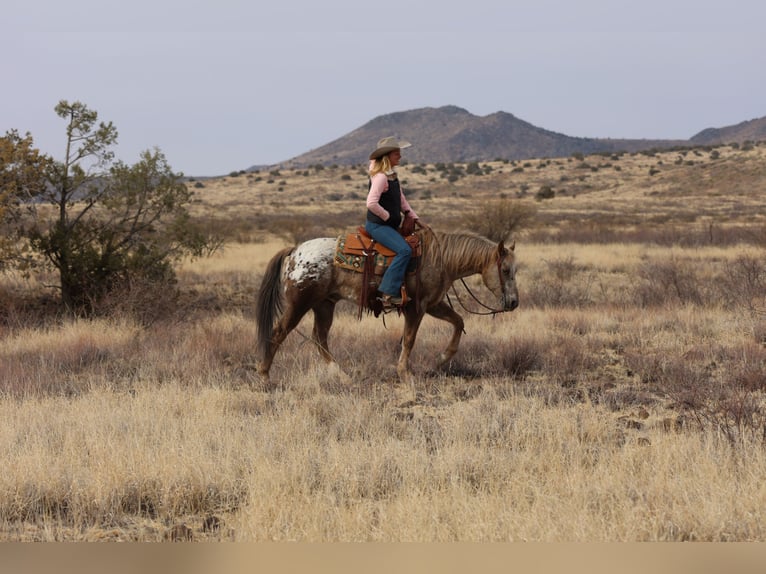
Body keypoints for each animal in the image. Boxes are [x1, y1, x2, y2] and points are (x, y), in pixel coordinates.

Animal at [255, 230, 520, 388]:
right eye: (506, 270)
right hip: (300, 303)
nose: (514, 302)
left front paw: (440, 360)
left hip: (324, 305)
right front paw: (405, 373)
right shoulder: (416, 307)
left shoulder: (433, 304)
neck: (440, 258)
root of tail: (295, 252)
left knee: (319, 338)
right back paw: (265, 376)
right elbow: (409, 339)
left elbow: (458, 322)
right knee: (279, 333)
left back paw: (344, 376)